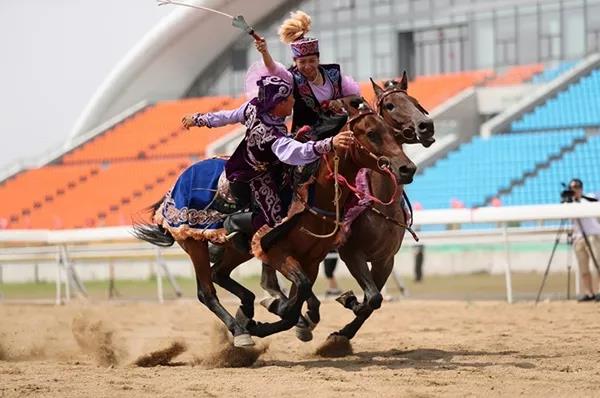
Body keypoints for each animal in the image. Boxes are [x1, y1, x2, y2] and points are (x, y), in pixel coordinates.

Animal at [132, 96, 414, 346]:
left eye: (391, 131)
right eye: (371, 133)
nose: (407, 168)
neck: (310, 196)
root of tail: (175, 186)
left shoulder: (316, 260)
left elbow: (309, 299)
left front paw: (281, 316)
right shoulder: (281, 252)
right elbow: (298, 298)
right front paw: (272, 316)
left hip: (238, 248)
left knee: (219, 274)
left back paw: (247, 309)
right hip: (194, 243)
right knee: (207, 291)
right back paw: (240, 329)